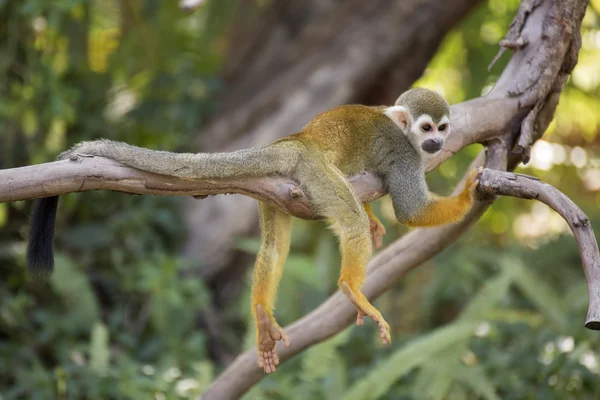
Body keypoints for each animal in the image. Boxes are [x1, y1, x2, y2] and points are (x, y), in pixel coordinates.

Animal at [27, 87, 478, 376]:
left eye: (443, 128)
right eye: (426, 129)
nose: (437, 144)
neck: (401, 131)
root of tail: (297, 140)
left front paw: (374, 217)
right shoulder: (404, 155)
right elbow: (410, 210)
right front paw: (470, 193)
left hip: (279, 189)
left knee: (274, 246)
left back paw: (261, 313)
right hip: (316, 173)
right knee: (344, 219)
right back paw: (351, 287)